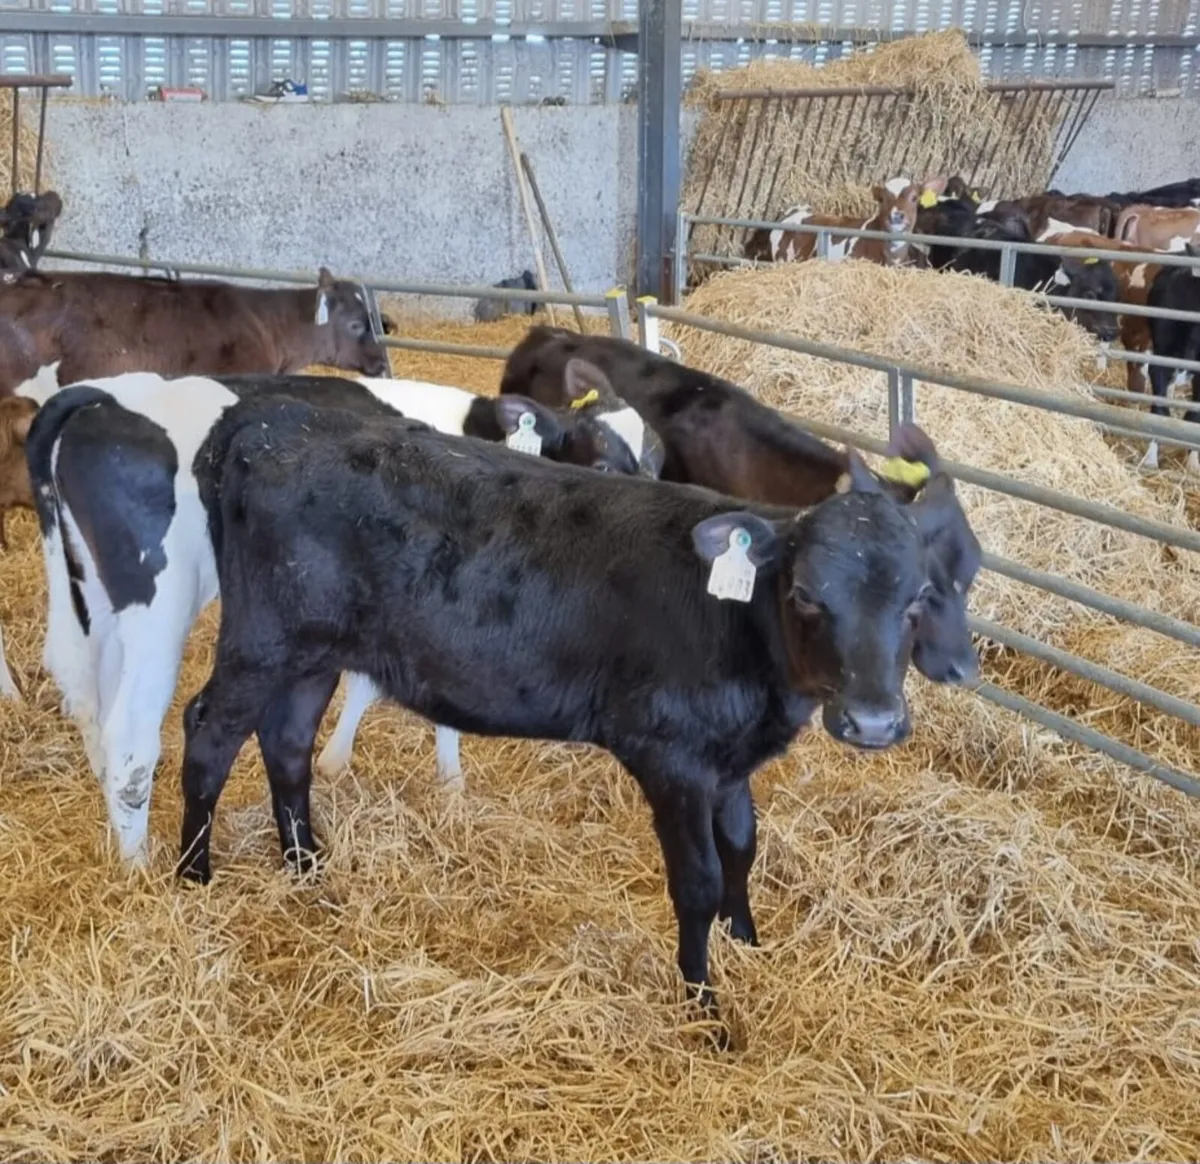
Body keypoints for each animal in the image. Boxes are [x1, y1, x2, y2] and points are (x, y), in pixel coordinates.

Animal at [18, 368, 659, 861]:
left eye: (655, 459)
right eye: (603, 463)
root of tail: (102, 395)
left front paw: (346, 760)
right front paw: (443, 778)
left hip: (98, 595)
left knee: (90, 692)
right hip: (162, 599)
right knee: (132, 730)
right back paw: (142, 867)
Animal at [178, 388, 964, 1047]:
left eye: (920, 597)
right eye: (804, 594)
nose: (872, 722)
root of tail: (267, 411)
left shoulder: (728, 758)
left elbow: (742, 846)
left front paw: (748, 943)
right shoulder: (671, 756)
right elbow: (699, 880)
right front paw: (704, 1006)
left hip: (313, 651)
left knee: (287, 744)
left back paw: (308, 869)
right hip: (262, 638)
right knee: (209, 732)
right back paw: (193, 877)